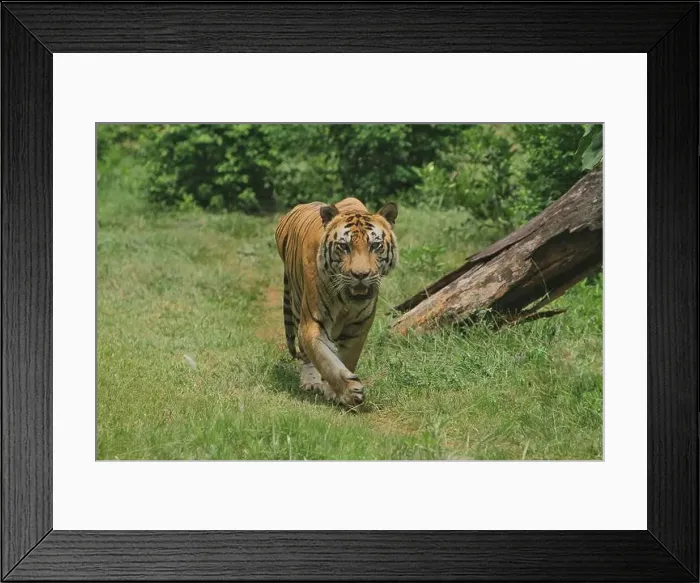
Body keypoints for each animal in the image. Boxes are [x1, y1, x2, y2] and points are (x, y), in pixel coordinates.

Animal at [274, 197, 398, 408]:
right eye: (344, 246)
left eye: (375, 245)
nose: (360, 275)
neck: (346, 301)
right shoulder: (312, 324)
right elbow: (325, 360)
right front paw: (349, 391)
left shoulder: (359, 326)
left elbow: (346, 358)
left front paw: (335, 392)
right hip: (297, 305)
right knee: (306, 355)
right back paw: (311, 382)